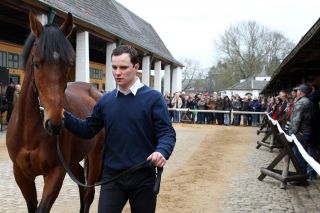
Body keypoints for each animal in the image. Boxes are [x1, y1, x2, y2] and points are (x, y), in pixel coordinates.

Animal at [5, 12, 104, 213]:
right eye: (36, 63)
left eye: (69, 64)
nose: (55, 123)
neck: (29, 133)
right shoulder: (21, 174)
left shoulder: (55, 172)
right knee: (81, 181)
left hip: (96, 154)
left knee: (88, 194)